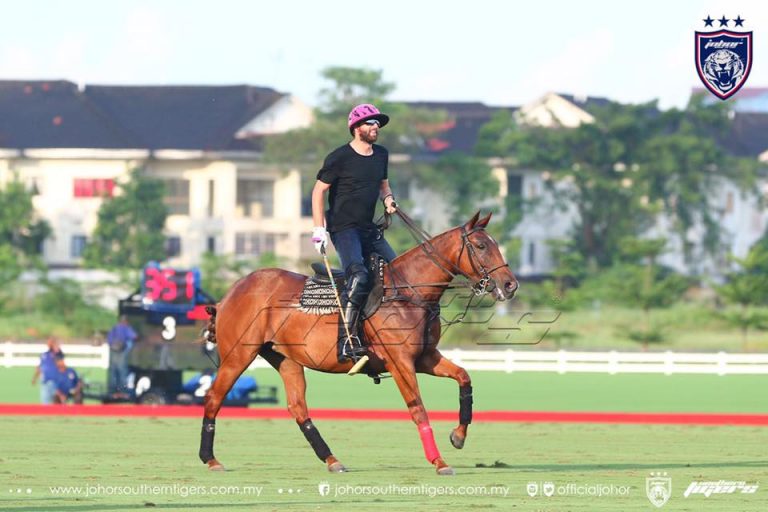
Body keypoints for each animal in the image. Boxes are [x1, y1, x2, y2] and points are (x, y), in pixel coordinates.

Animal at [201, 210, 520, 474]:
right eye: (481, 246)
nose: (510, 285)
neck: (409, 292)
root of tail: (229, 293)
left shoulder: (425, 357)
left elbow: (464, 378)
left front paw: (458, 436)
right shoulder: (400, 362)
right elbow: (418, 408)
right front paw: (439, 462)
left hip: (286, 359)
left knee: (298, 407)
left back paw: (333, 460)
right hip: (238, 355)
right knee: (214, 396)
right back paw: (211, 459)